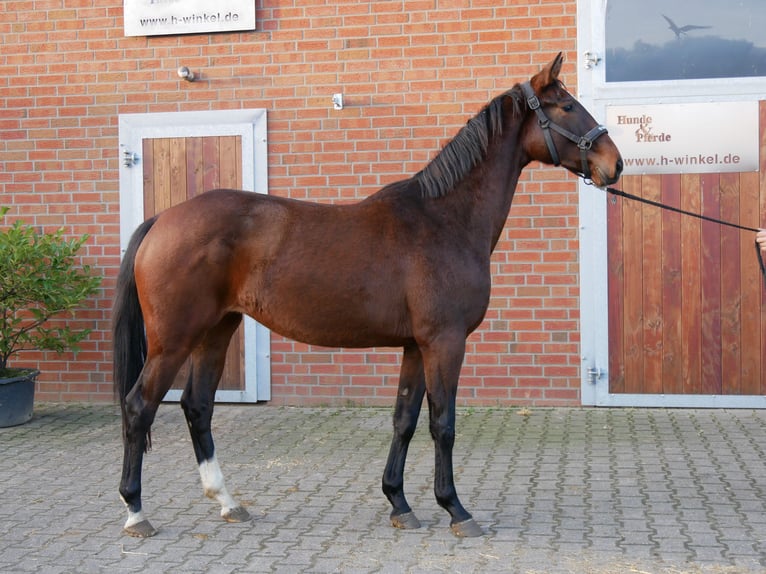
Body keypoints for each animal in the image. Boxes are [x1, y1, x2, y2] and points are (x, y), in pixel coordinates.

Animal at [114, 54, 624, 540]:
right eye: (566, 106)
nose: (615, 163)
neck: (444, 219)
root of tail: (162, 219)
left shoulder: (416, 346)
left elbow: (405, 419)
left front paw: (399, 503)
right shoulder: (445, 342)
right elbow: (443, 424)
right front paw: (455, 509)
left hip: (216, 331)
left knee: (197, 406)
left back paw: (227, 502)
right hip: (174, 341)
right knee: (140, 407)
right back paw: (136, 512)